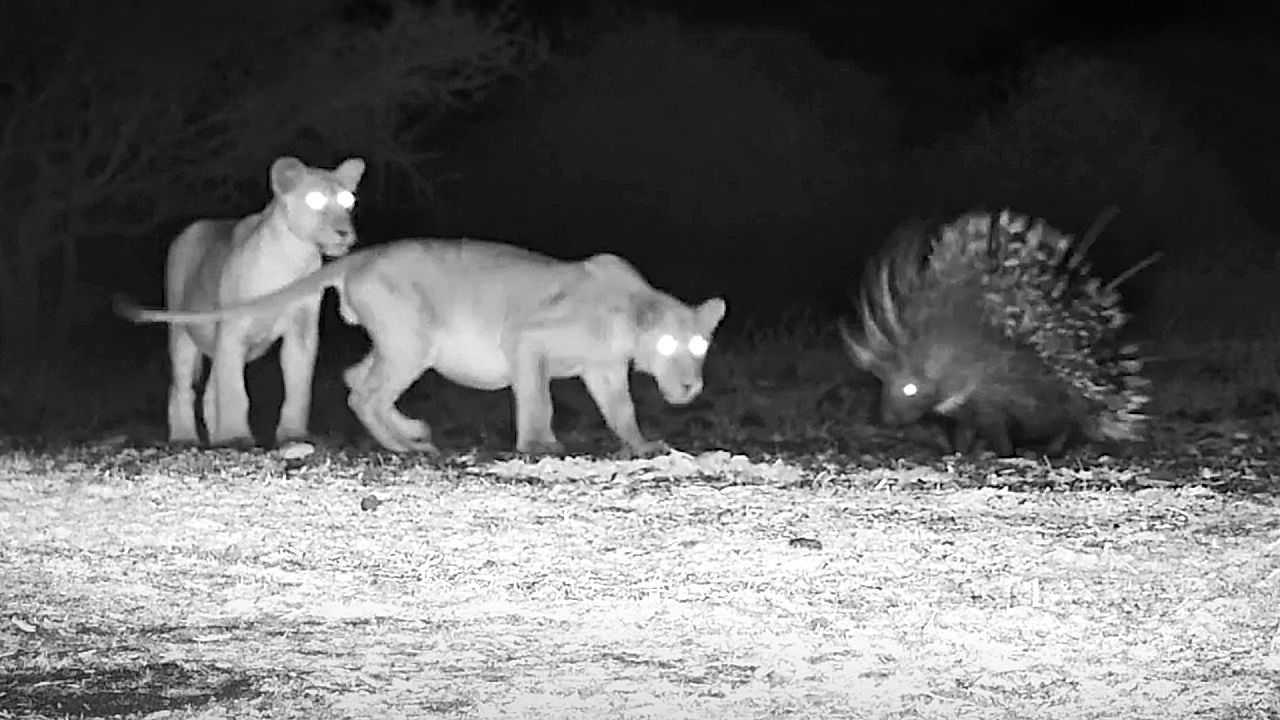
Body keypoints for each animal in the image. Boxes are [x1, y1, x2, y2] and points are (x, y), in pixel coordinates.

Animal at [115, 239, 727, 456]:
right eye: (668, 342)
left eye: (699, 343)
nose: (691, 383)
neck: (629, 312)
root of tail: (362, 255)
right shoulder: (527, 341)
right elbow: (538, 400)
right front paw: (540, 445)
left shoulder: (603, 370)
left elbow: (622, 410)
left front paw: (643, 445)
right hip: (414, 343)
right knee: (363, 393)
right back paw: (405, 446)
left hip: (404, 345)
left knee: (355, 380)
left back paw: (411, 434)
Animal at [147, 155, 366, 447]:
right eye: (315, 200)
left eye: (348, 201)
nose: (345, 232)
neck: (294, 259)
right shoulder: (233, 330)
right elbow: (235, 392)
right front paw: (236, 436)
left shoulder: (301, 330)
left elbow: (298, 386)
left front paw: (292, 434)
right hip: (182, 331)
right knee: (182, 387)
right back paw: (185, 437)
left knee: (210, 391)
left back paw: (216, 438)